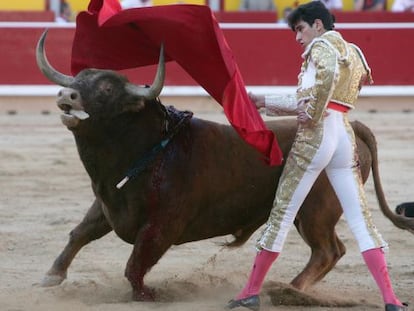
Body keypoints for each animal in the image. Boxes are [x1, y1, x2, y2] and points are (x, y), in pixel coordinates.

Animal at [36, 30, 414, 302]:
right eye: (79, 79)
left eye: (107, 88)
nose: (67, 96)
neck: (148, 149)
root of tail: (353, 125)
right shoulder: (108, 202)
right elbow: (80, 232)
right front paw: (51, 275)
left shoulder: (163, 225)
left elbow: (135, 264)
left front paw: (146, 294)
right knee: (339, 248)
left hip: (315, 209)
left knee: (327, 250)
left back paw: (287, 290)